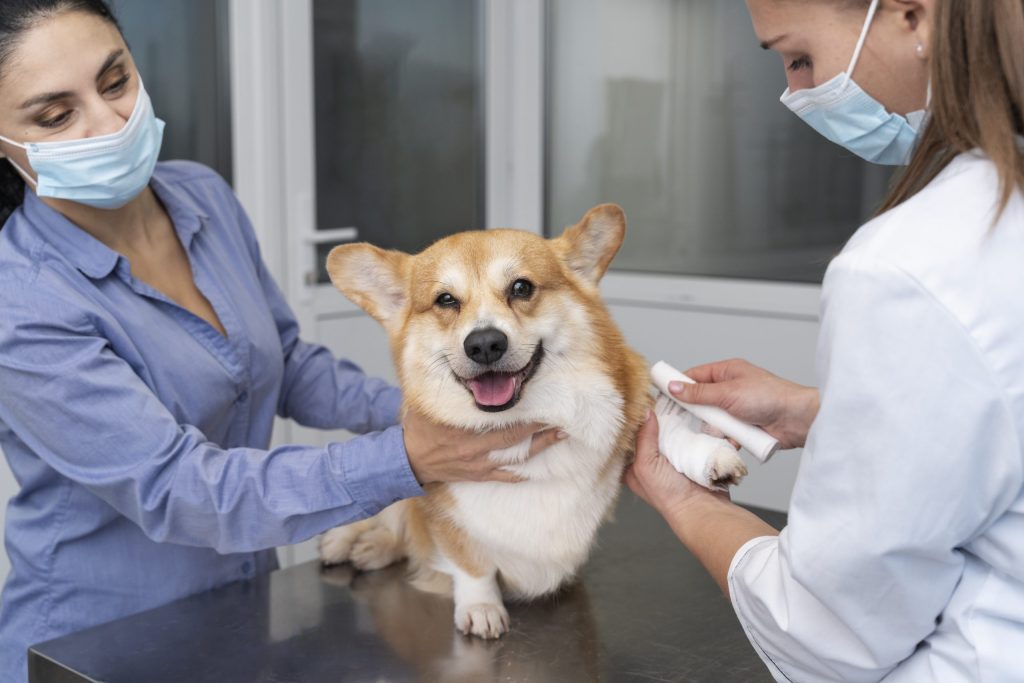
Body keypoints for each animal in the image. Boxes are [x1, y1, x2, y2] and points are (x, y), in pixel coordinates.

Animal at [319, 204, 745, 643]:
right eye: (446, 300)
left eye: (521, 288)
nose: (484, 344)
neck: (529, 416)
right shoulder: (444, 513)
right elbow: (470, 564)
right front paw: (481, 607)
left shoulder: (631, 407)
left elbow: (665, 426)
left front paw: (709, 454)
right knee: (382, 512)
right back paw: (345, 542)